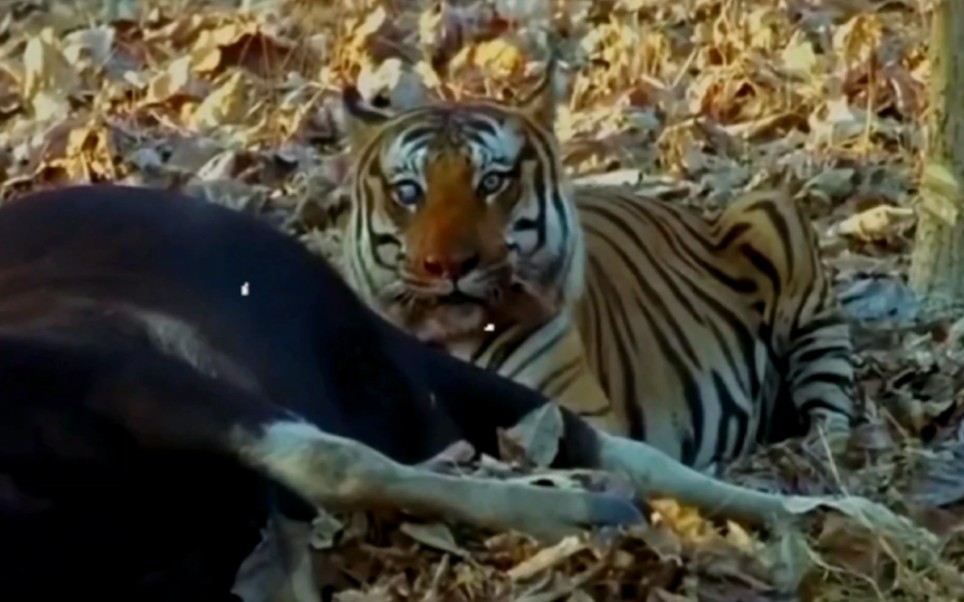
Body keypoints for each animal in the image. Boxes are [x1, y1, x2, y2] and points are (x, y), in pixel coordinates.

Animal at [336, 59, 856, 468]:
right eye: (408, 192)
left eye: (492, 182)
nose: (448, 265)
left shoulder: (571, 416)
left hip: (772, 217)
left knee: (832, 406)